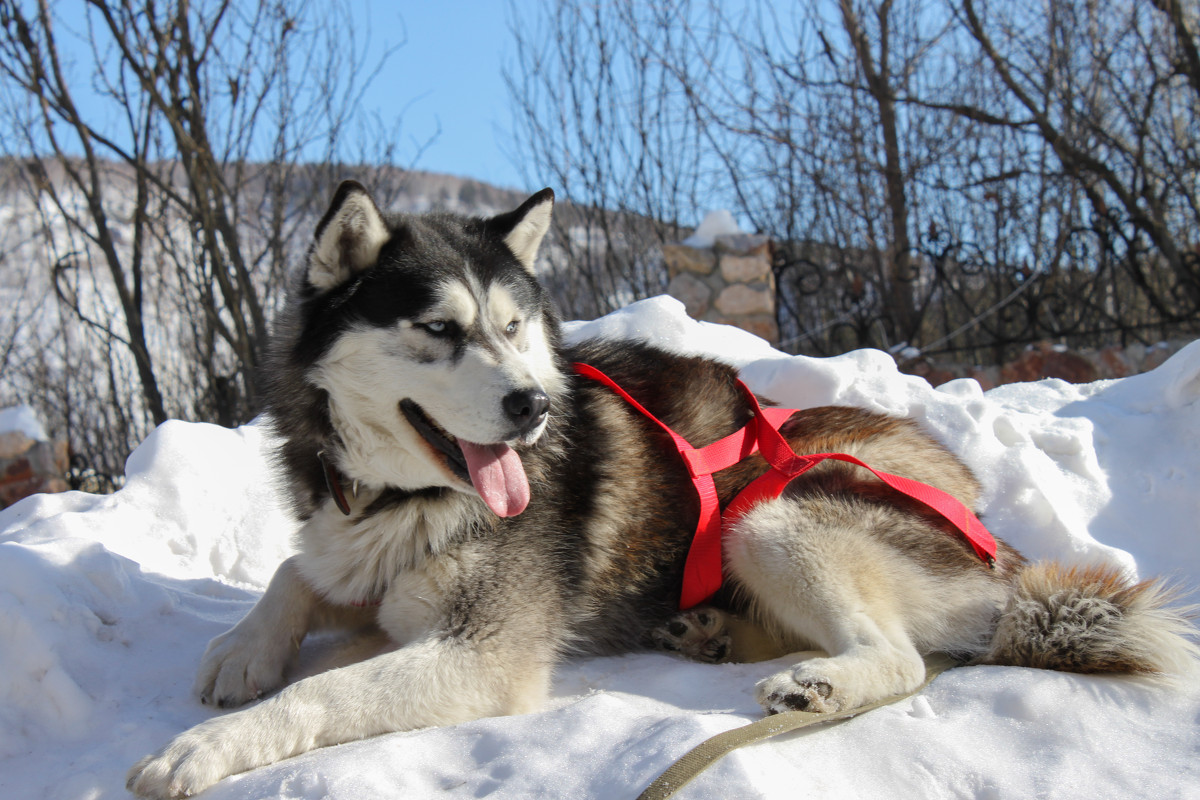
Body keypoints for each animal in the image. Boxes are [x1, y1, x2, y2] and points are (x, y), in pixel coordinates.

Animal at [126, 183, 1195, 800]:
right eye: (438, 329)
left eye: (513, 326)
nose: (530, 407)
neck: (403, 499)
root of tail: (1004, 555)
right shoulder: (356, 554)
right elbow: (297, 575)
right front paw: (243, 648)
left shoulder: (481, 653)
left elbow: (327, 689)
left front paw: (203, 749)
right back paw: (712, 632)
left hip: (777, 514)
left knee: (900, 658)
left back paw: (818, 681)